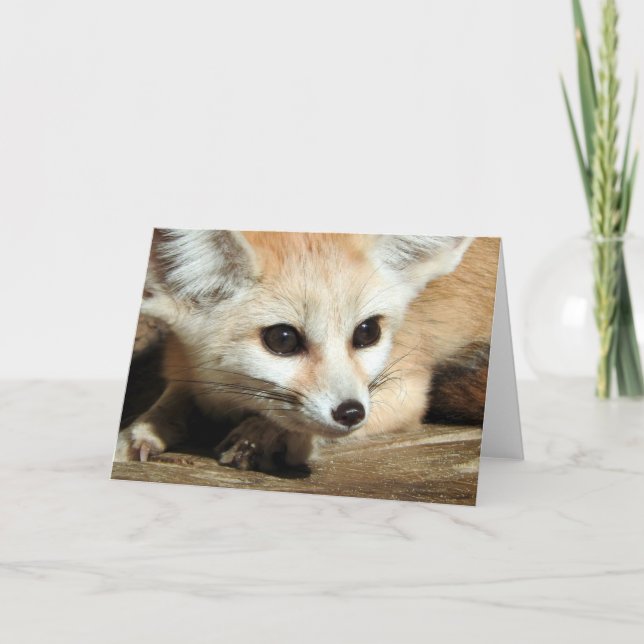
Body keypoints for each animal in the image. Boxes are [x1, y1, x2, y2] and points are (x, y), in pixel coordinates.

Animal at [115, 230, 499, 472]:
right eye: (283, 339)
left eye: (367, 332)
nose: (351, 412)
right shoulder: (186, 369)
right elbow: (171, 400)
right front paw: (143, 430)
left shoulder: (406, 388)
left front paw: (266, 433)